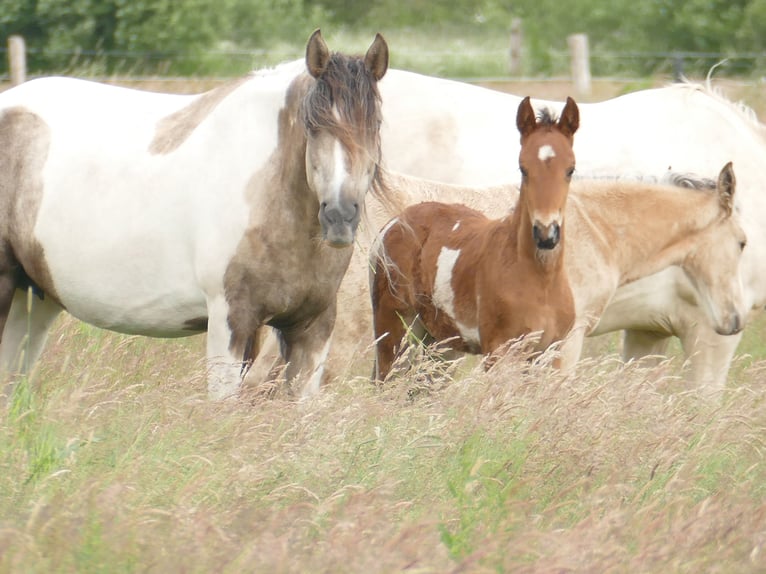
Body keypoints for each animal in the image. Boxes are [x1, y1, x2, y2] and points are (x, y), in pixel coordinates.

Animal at [0, 29, 391, 401]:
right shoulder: (231, 321)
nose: (339, 215)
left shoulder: (312, 327)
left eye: (375, 124)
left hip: (33, 297)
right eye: (311, 124)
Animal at [369, 162, 746, 382]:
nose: (735, 320)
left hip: (438, 342)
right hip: (395, 331)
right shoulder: (555, 343)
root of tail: (392, 225)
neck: (591, 233)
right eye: (743, 242)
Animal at [370, 96, 579, 380]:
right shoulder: (498, 351)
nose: (546, 234)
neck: (540, 281)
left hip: (440, 344)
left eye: (570, 169)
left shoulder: (550, 354)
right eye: (523, 169)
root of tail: (393, 224)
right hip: (393, 332)